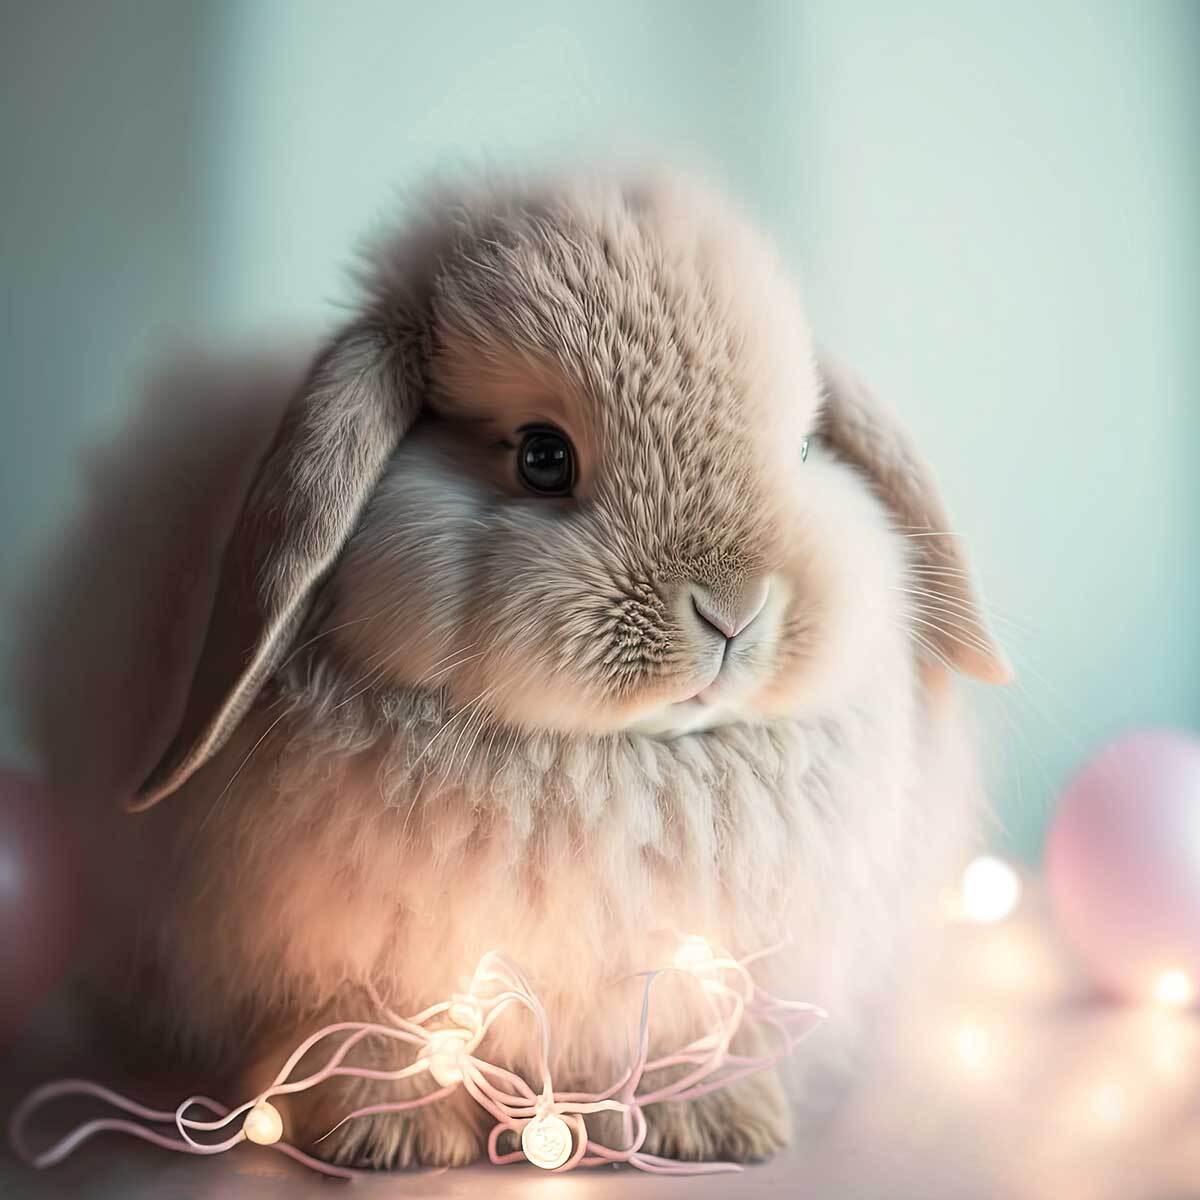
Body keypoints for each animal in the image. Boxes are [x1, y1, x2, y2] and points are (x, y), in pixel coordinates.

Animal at [81, 167, 1010, 1170]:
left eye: (802, 450)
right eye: (541, 456)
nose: (733, 610)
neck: (616, 764)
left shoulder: (694, 966)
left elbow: (682, 1026)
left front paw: (713, 1126)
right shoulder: (347, 958)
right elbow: (373, 1029)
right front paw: (390, 1140)